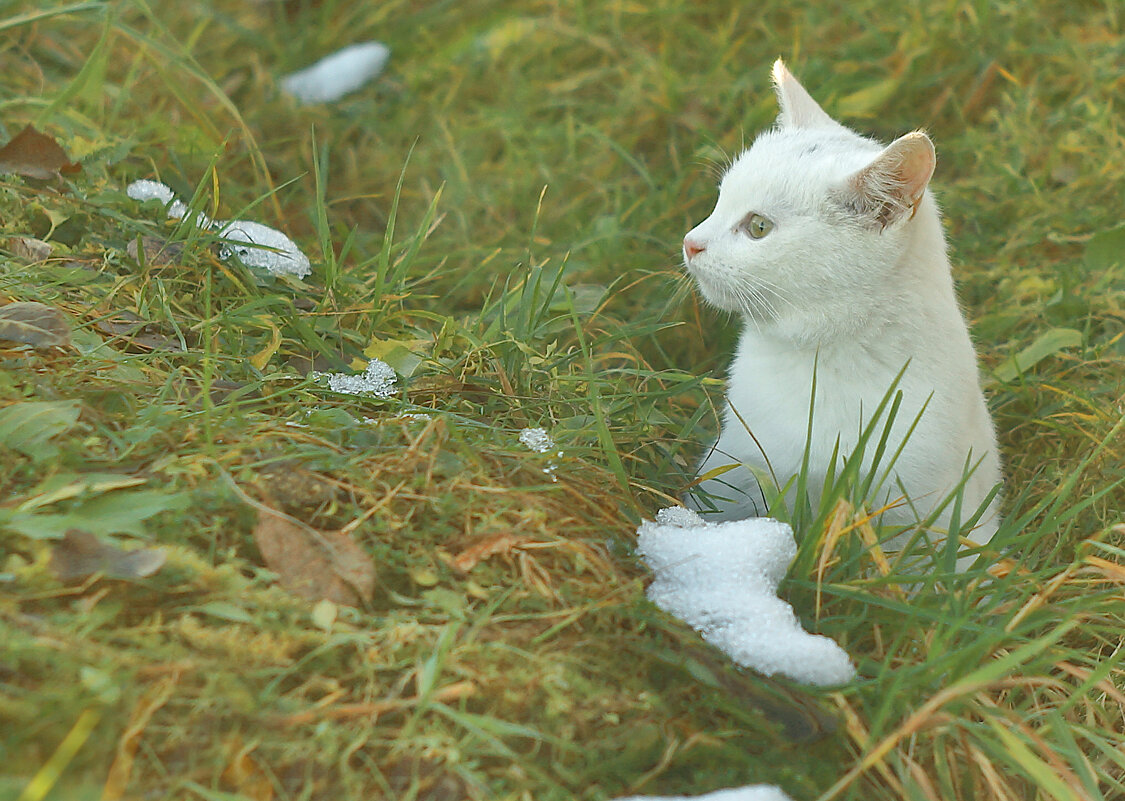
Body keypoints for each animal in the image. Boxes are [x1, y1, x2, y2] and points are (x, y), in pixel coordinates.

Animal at [684, 61, 1003, 562]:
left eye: (759, 227)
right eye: (719, 200)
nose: (690, 242)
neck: (821, 357)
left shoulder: (936, 509)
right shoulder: (734, 469)